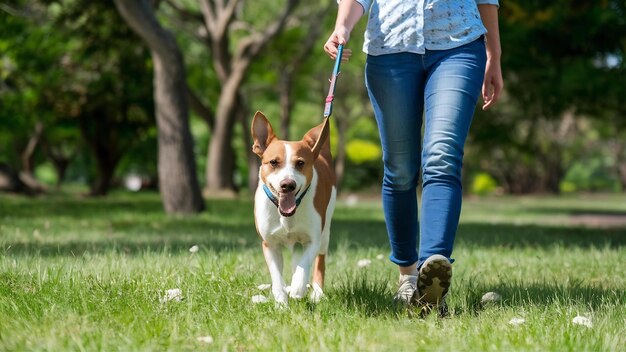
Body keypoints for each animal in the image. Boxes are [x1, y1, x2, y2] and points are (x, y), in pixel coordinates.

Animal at [250, 112, 334, 306]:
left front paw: (297, 288)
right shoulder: (269, 243)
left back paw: (316, 292)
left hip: (326, 230)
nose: (288, 184)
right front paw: (281, 302)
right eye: (273, 162)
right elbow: (276, 277)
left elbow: (305, 265)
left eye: (300, 163)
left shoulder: (313, 239)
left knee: (319, 259)